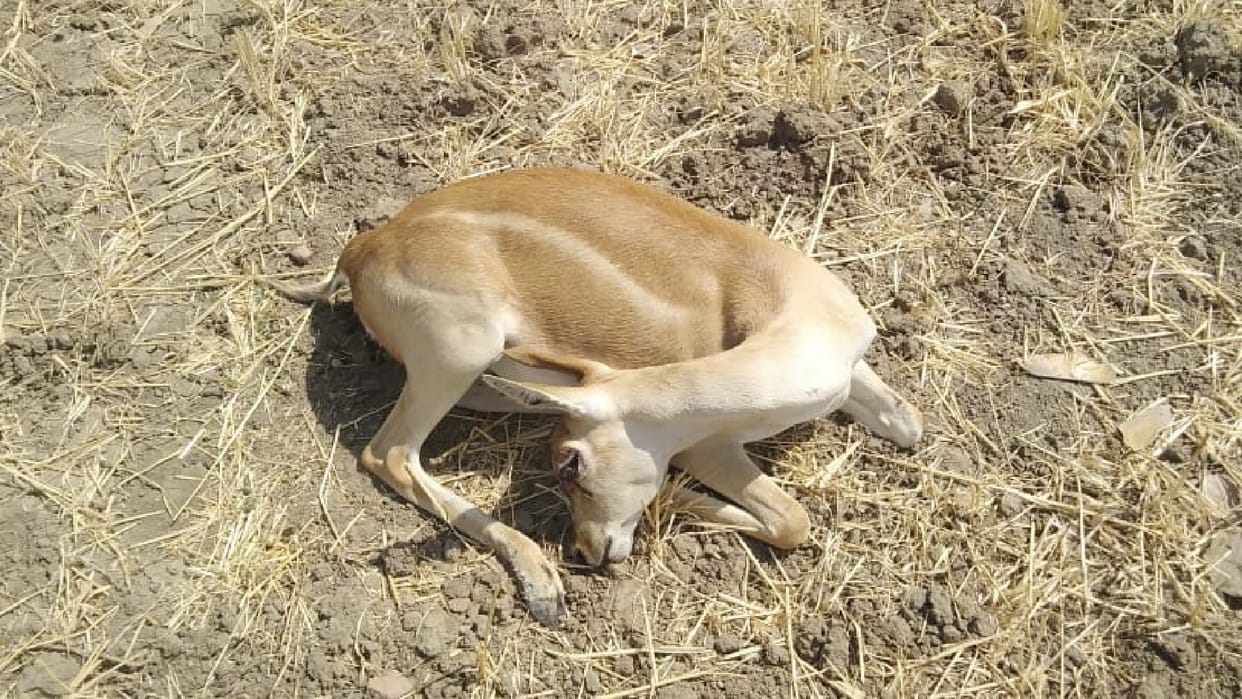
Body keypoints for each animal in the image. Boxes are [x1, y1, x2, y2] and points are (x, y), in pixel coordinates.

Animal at [275, 167, 924, 626]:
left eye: (571, 464)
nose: (586, 550)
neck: (789, 325)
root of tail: (363, 248)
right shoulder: (706, 447)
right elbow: (792, 521)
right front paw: (676, 501)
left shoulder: (852, 363)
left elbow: (909, 423)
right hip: (459, 355)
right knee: (387, 454)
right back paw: (543, 586)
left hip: (485, 372)